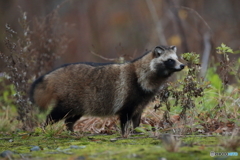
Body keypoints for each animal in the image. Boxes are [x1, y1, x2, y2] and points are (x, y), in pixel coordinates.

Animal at [29, 44, 184, 135]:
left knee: (70, 119)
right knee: (55, 115)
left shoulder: (141, 100)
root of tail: (57, 72)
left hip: (79, 104)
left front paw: (136, 130)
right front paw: (125, 134)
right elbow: (125, 118)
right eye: (170, 60)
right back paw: (44, 127)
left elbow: (136, 118)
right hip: (68, 101)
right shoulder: (128, 96)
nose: (182, 65)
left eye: (177, 58)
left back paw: (71, 130)